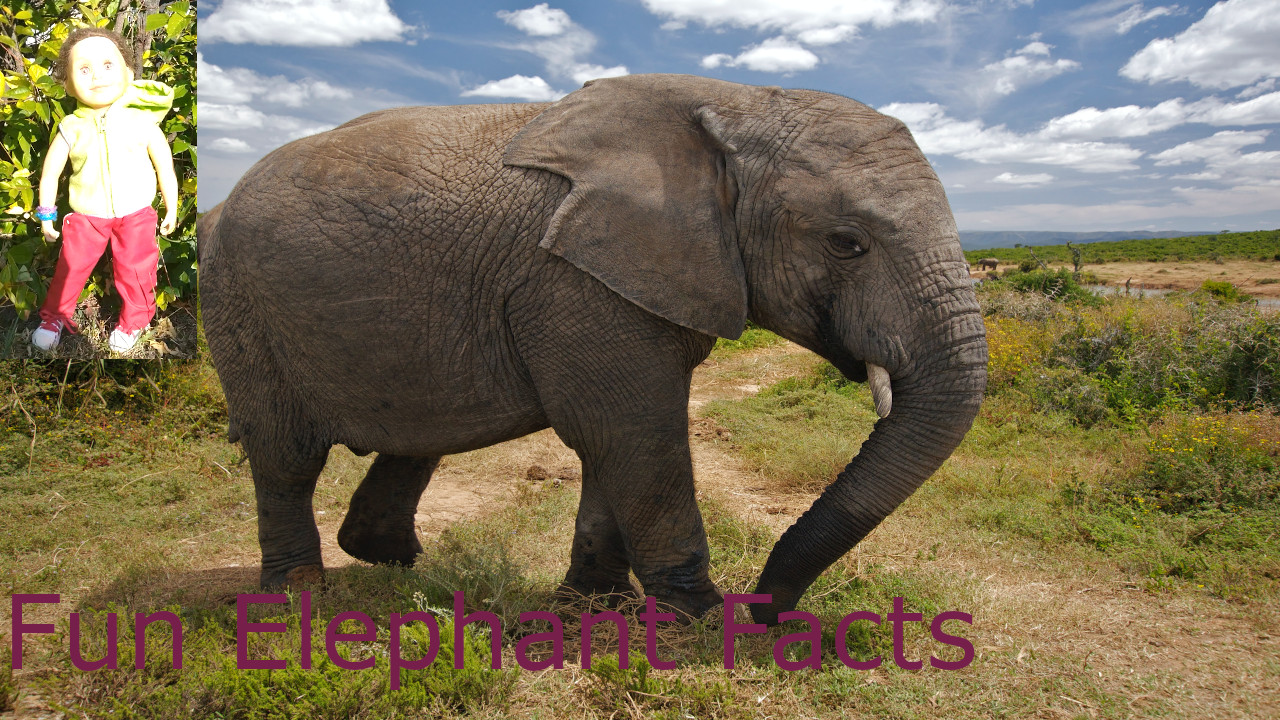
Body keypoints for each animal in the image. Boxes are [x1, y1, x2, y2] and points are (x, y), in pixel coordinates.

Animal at [198, 73, 987, 625]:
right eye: (846, 243)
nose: (765, 607)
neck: (738, 105)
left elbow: (615, 441)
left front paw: (595, 606)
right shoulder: (576, 279)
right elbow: (634, 432)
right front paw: (701, 620)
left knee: (417, 435)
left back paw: (390, 562)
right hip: (240, 305)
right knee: (286, 455)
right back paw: (297, 596)